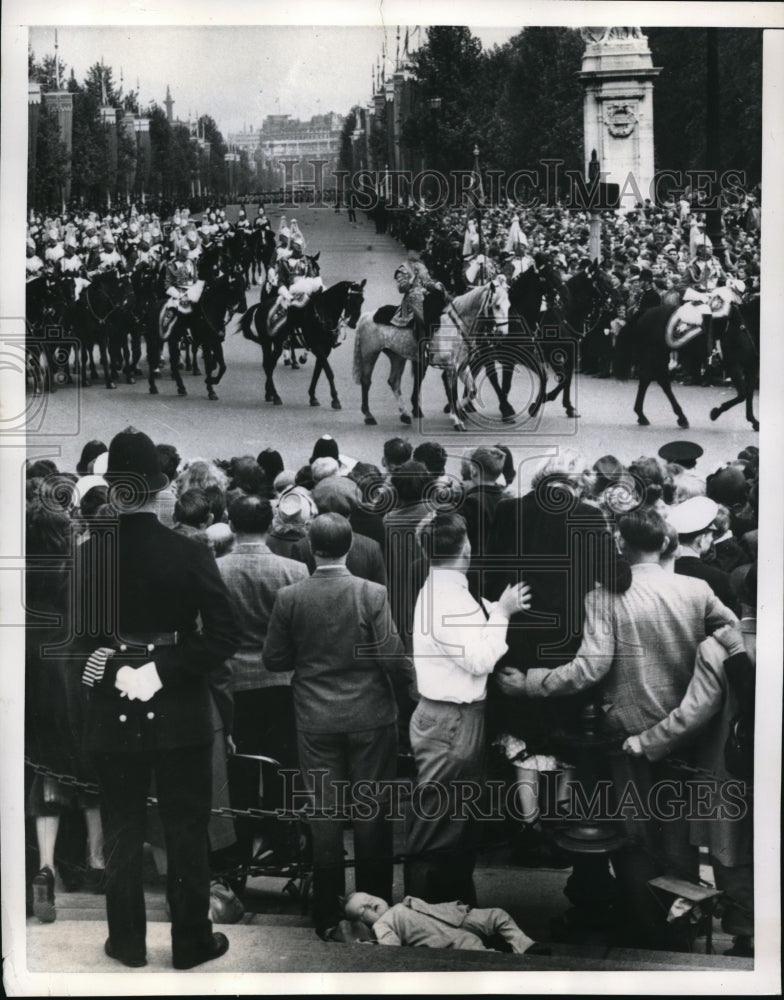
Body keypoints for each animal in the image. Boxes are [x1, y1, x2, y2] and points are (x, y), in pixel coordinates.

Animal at [352, 278, 512, 430]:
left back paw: (405, 415)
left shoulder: (462, 366)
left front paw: (456, 412)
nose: (502, 334)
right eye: (497, 305)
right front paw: (457, 420)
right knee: (366, 381)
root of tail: (367, 315)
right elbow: (452, 392)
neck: (456, 326)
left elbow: (472, 390)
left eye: (509, 306)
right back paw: (369, 416)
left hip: (397, 357)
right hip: (370, 354)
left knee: (394, 381)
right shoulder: (451, 368)